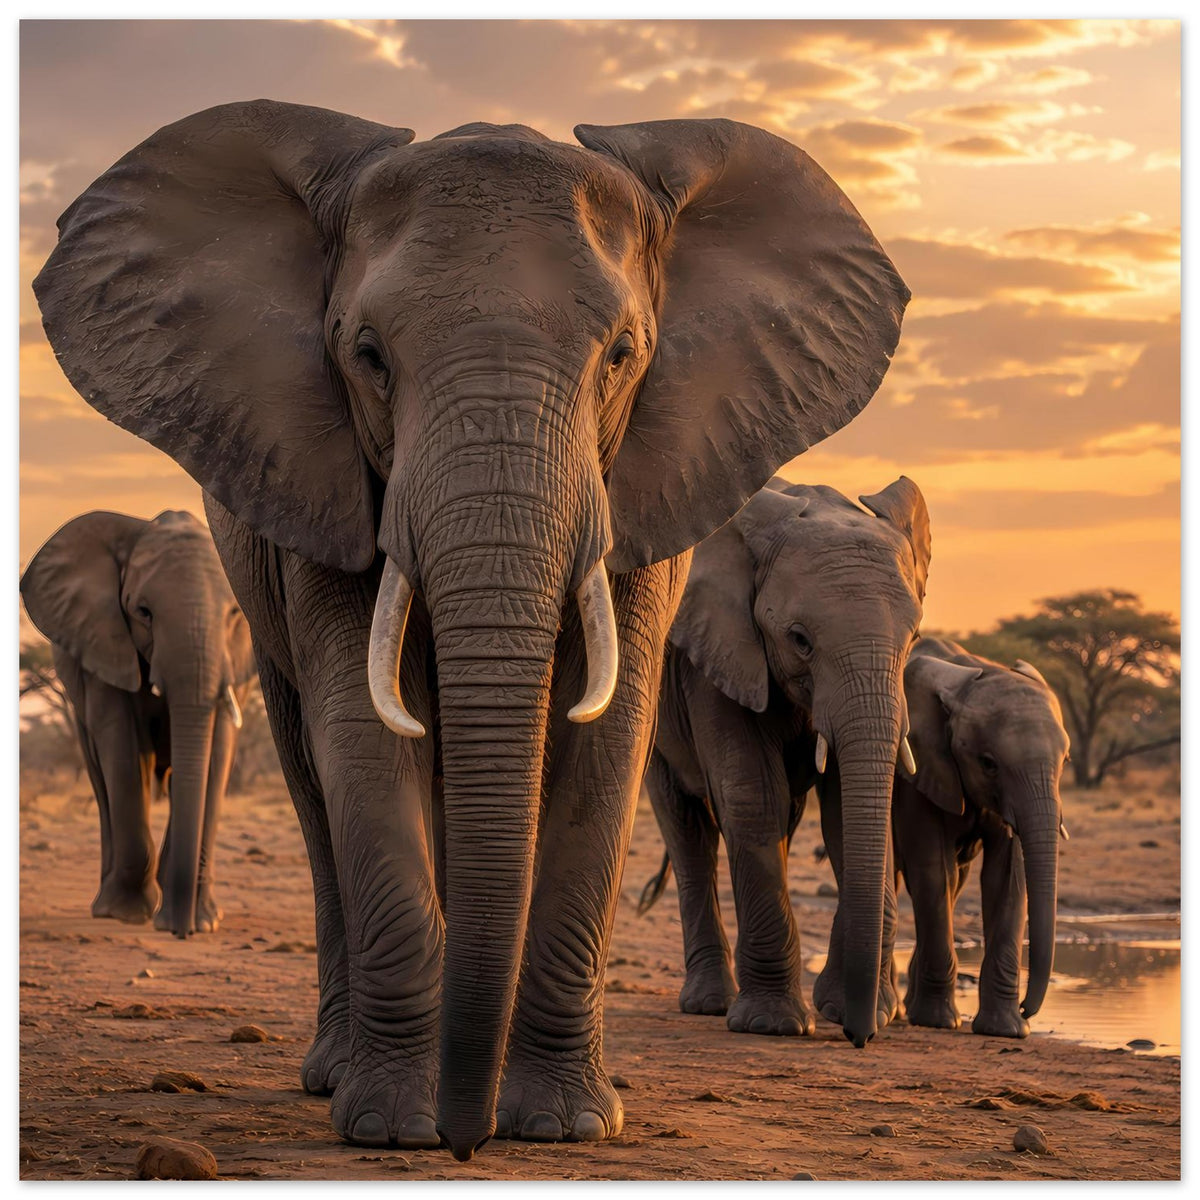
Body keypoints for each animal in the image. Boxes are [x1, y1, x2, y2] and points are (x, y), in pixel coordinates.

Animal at [20, 509, 254, 935]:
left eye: (234, 614)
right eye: (143, 612)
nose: (181, 931)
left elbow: (218, 747)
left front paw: (205, 922)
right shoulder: (102, 642)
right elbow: (123, 744)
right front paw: (128, 914)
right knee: (102, 776)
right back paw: (106, 905)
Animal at [641, 477, 930, 1044]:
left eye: (913, 639)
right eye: (799, 639)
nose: (861, 1037)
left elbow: (845, 810)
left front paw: (855, 1010)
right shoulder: (716, 656)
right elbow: (752, 795)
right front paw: (770, 1025)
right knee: (687, 830)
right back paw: (708, 1004)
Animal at [891, 637, 1070, 1038]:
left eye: (1065, 762)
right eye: (988, 763)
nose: (1028, 1008)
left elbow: (1008, 877)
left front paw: (1007, 1030)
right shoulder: (918, 771)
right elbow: (931, 868)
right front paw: (938, 1022)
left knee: (955, 882)